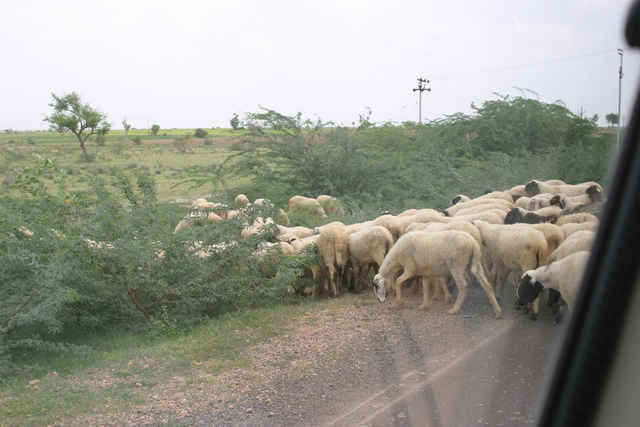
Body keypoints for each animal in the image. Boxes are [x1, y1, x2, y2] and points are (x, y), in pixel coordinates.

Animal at [372, 230, 502, 317]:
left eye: (377, 286)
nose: (379, 301)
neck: (396, 258)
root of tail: (473, 243)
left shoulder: (410, 269)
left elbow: (398, 281)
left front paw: (398, 302)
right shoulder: (424, 272)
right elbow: (425, 287)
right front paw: (424, 305)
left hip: (456, 265)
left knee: (463, 286)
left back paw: (455, 309)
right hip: (475, 262)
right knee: (486, 284)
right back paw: (497, 310)